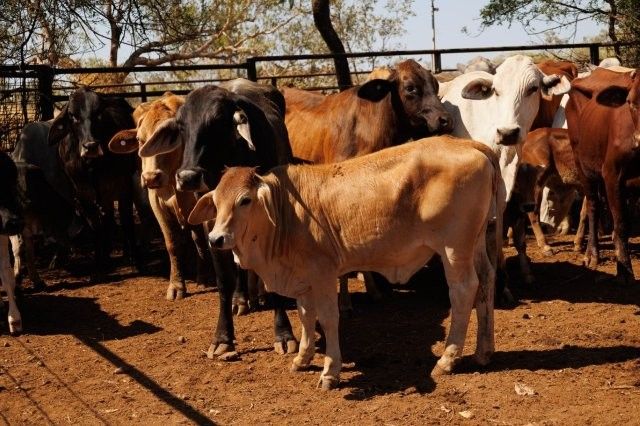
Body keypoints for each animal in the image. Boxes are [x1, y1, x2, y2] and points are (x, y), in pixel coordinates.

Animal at [48, 87, 142, 275]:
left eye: (99, 113)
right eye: (73, 115)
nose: (90, 146)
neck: (91, 165)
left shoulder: (123, 187)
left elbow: (126, 221)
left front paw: (134, 258)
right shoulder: (83, 195)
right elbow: (96, 226)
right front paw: (100, 262)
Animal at [108, 93, 213, 300]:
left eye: (170, 141)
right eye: (140, 140)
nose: (150, 177)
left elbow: (202, 239)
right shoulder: (157, 205)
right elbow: (172, 244)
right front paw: (177, 285)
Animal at [138, 79, 298, 358]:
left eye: (216, 123)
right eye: (181, 126)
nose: (188, 177)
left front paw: (284, 333)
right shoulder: (212, 224)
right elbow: (224, 278)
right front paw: (223, 337)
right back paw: (240, 299)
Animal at [187, 136, 501, 390]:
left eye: (245, 200)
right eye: (216, 202)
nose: (216, 238)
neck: (286, 212)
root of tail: (468, 144)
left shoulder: (323, 274)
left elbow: (327, 319)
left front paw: (330, 372)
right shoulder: (303, 280)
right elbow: (306, 317)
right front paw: (302, 358)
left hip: (454, 249)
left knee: (464, 291)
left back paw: (447, 360)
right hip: (475, 243)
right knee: (486, 282)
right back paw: (483, 353)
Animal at [566, 67, 640, 284]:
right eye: (630, 102)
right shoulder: (612, 174)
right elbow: (621, 223)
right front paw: (624, 271)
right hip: (583, 166)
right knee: (593, 206)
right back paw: (592, 255)